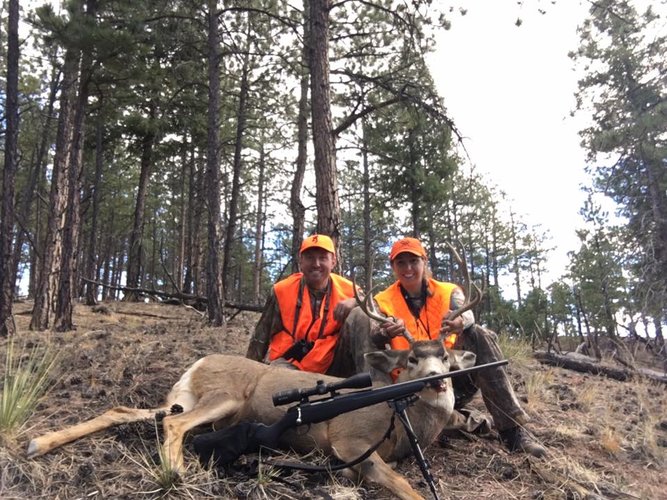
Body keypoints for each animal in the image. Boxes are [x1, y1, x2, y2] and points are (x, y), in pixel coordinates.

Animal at [27, 262, 480, 500]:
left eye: (445, 356)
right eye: (412, 358)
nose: (439, 380)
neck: (401, 419)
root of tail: (199, 361)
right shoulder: (349, 439)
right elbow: (403, 482)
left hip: (185, 398)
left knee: (124, 409)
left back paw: (38, 443)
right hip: (224, 397)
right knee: (172, 423)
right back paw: (176, 474)